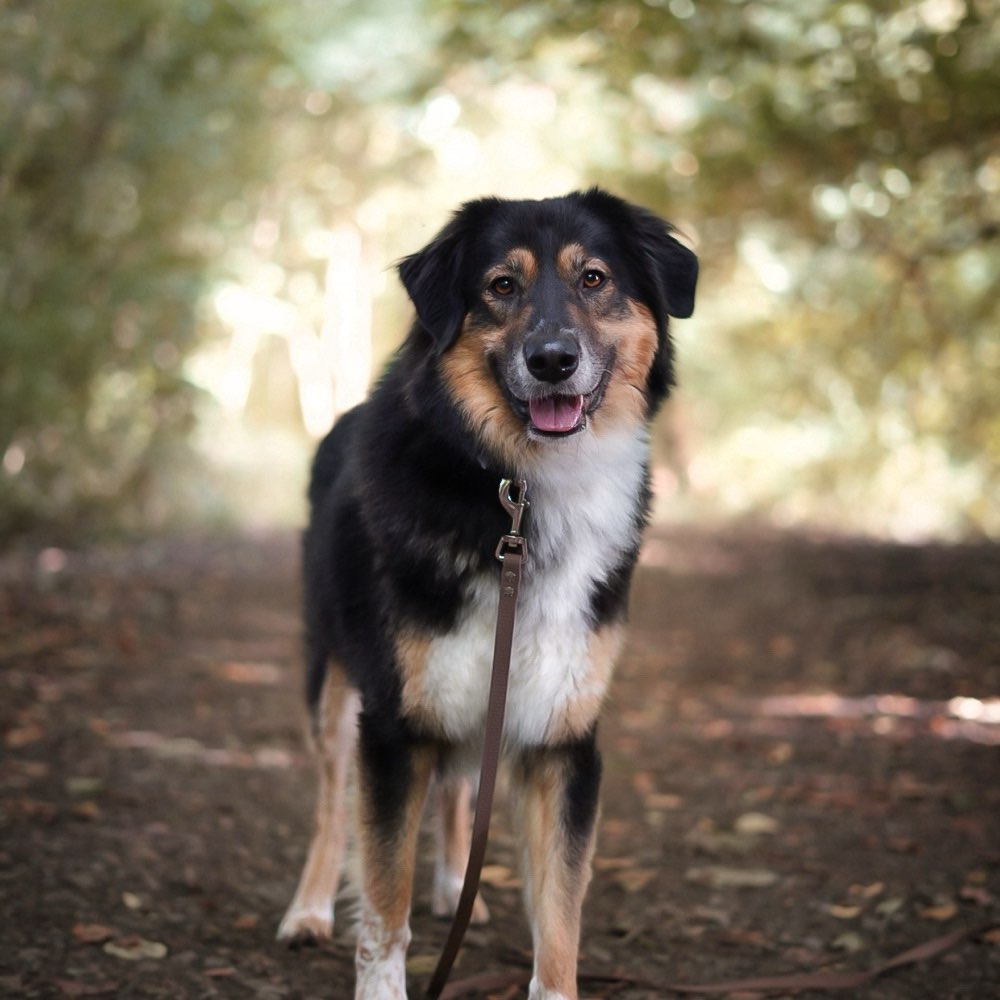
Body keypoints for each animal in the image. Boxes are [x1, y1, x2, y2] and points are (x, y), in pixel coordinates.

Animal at [274, 189, 696, 1000]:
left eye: (593, 278)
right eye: (502, 285)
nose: (553, 360)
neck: (520, 495)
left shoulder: (564, 736)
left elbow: (559, 915)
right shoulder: (394, 725)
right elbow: (383, 903)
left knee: (457, 790)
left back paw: (449, 884)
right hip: (332, 685)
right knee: (329, 810)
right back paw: (308, 910)